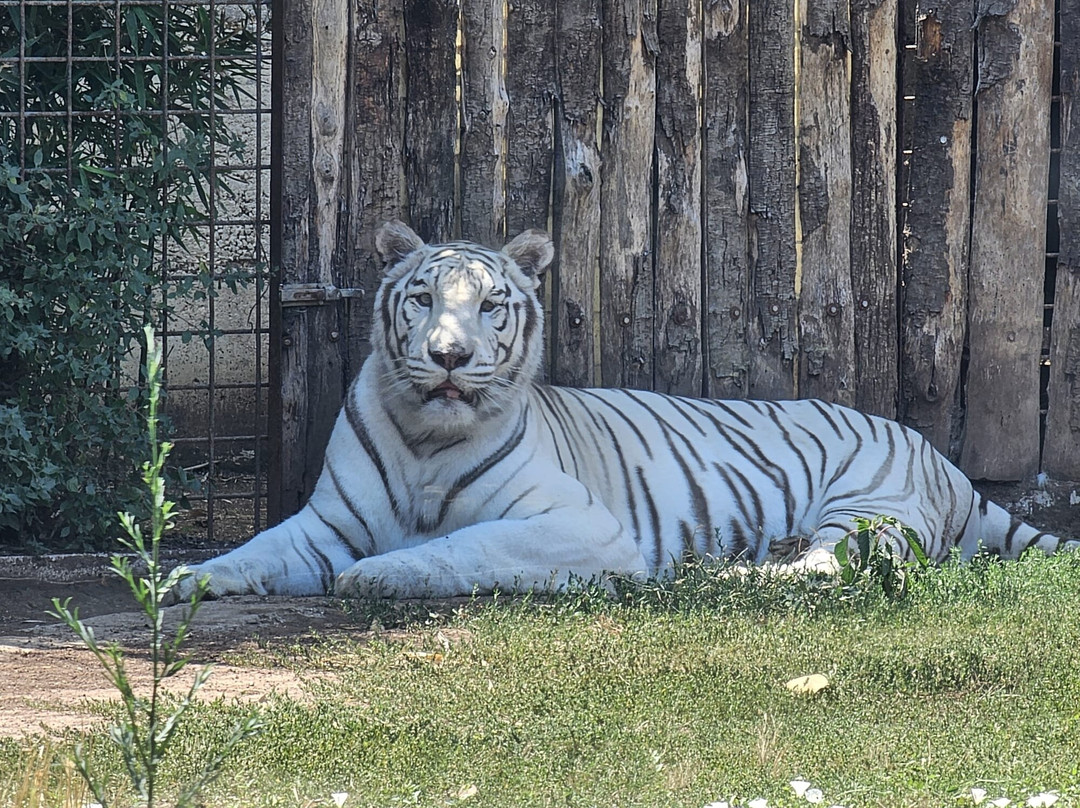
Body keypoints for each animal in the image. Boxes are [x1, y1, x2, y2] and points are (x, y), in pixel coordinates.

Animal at [177, 221, 1071, 600]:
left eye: (490, 306)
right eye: (424, 298)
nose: (450, 357)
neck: (430, 437)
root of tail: (941, 457)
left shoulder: (575, 525)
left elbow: (463, 546)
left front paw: (380, 575)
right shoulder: (325, 522)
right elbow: (255, 550)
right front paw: (186, 580)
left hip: (866, 508)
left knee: (829, 570)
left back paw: (727, 572)